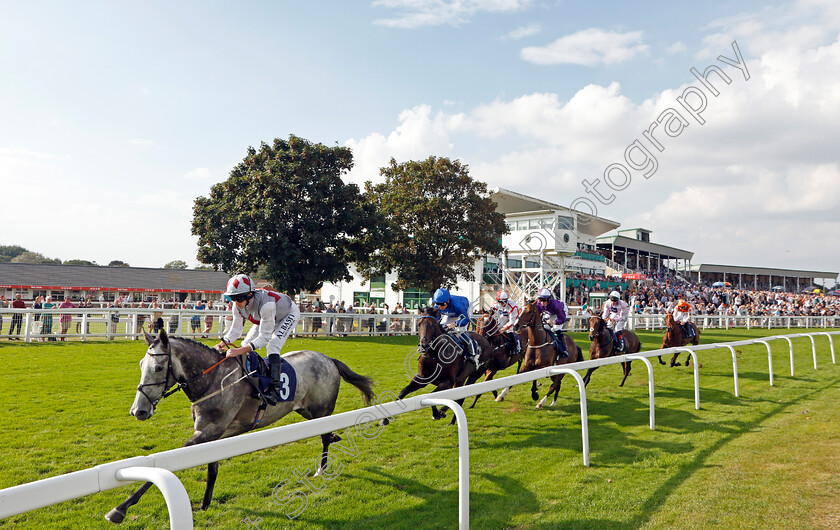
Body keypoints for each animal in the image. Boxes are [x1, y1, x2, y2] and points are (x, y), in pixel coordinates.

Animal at [103, 328, 372, 520]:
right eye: (141, 365)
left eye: (159, 367)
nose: (138, 411)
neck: (213, 380)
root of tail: (328, 359)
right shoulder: (214, 435)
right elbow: (212, 469)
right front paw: (205, 503)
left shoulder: (207, 431)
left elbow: (168, 463)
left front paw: (120, 509)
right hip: (306, 411)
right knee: (327, 434)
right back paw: (333, 444)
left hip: (320, 411)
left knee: (325, 437)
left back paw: (321, 469)